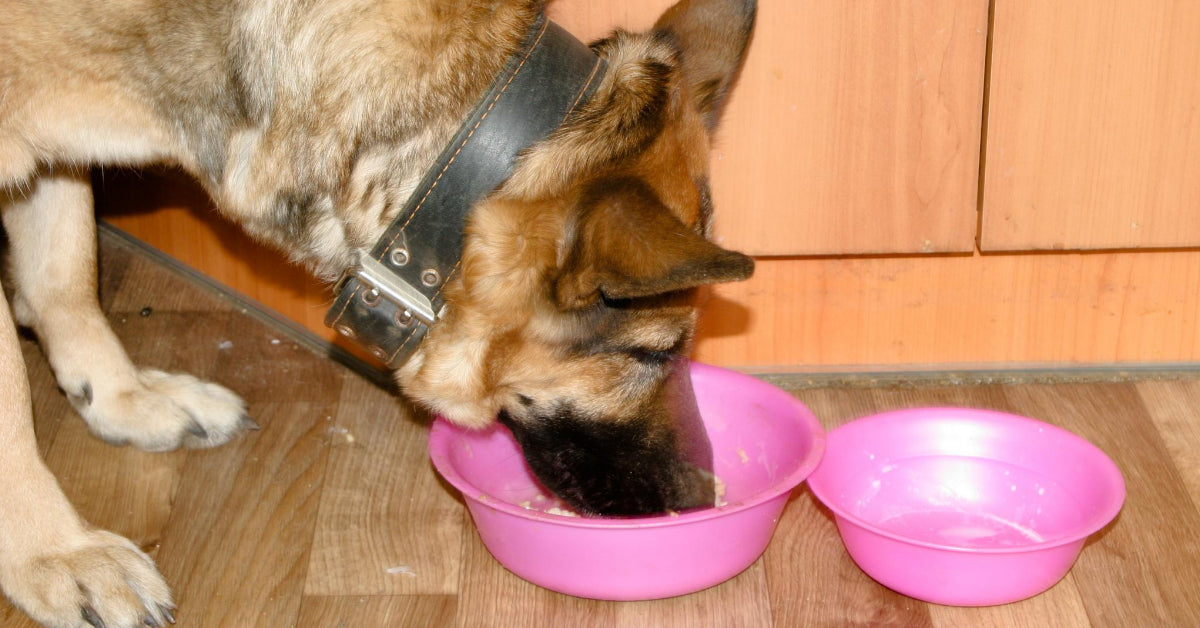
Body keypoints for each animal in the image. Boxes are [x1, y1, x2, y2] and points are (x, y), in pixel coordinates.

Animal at [0, 1, 753, 624]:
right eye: (651, 354)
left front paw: (118, 398)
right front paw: (57, 553)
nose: (699, 498)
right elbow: (12, 399)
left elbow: (67, 276)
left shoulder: (50, 155)